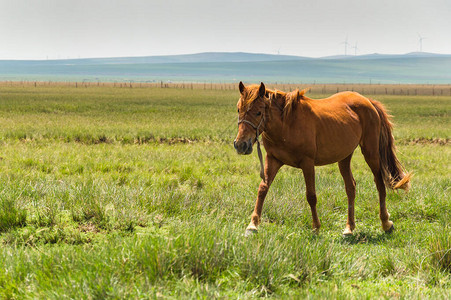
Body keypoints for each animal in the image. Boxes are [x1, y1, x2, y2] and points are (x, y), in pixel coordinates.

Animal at [235, 81, 412, 234]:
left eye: (258, 112)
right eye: (238, 110)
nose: (240, 145)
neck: (287, 124)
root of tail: (367, 101)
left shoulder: (307, 163)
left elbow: (311, 196)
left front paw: (316, 227)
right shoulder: (273, 159)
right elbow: (262, 189)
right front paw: (252, 225)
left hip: (371, 153)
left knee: (380, 184)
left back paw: (386, 223)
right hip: (344, 157)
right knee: (351, 187)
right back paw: (349, 227)